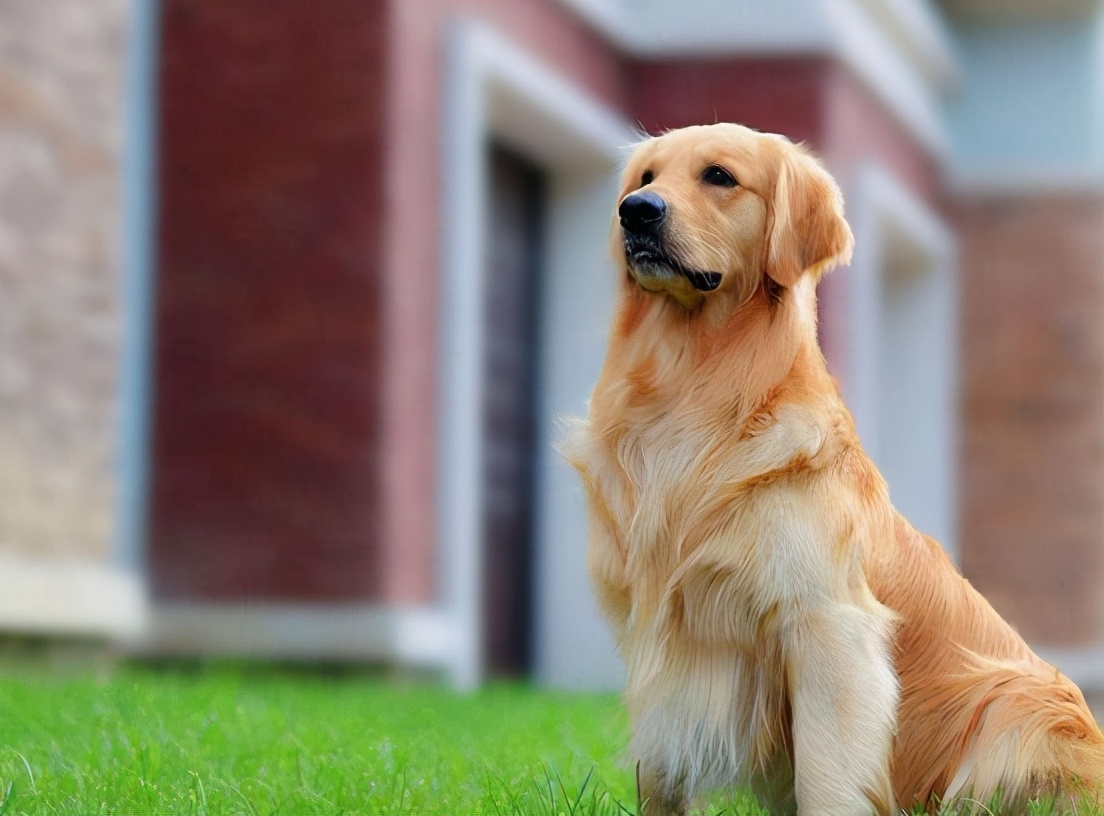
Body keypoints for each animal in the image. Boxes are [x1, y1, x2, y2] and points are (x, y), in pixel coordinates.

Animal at [569, 123, 1104, 816]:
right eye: (644, 179)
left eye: (719, 176)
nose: (635, 212)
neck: (694, 389)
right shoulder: (657, 627)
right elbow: (658, 771)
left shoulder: (828, 624)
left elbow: (827, 773)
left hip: (1018, 704)